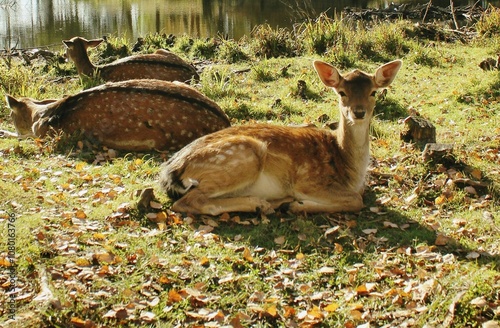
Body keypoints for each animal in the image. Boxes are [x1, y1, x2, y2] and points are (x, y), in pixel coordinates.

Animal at [160, 59, 402, 215]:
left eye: (373, 92)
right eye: (342, 92)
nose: (358, 112)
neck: (350, 168)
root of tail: (170, 172)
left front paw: (291, 204)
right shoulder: (308, 181)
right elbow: (356, 200)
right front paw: (296, 205)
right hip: (245, 155)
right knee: (189, 202)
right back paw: (262, 204)